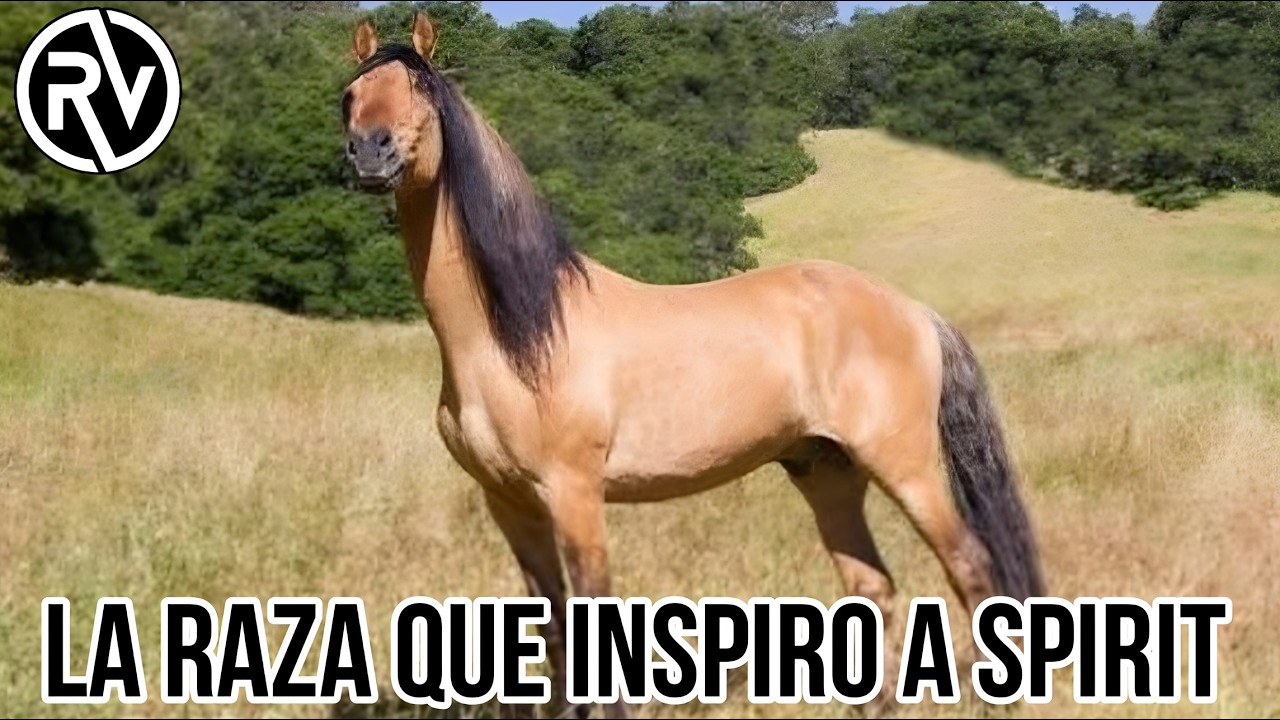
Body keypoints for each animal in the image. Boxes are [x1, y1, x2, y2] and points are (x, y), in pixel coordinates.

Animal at [341, 13, 1044, 716]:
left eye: (423, 93)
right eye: (350, 95)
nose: (369, 153)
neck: (515, 336)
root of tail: (916, 312)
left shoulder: (573, 492)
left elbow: (591, 618)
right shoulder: (510, 503)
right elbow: (556, 630)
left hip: (906, 469)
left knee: (972, 569)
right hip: (827, 471)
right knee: (872, 587)